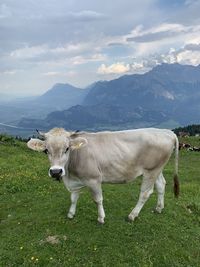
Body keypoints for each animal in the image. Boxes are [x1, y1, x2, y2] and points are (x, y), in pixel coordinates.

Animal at [27, 127, 180, 224]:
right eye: (46, 150)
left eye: (67, 148)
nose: (56, 172)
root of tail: (166, 132)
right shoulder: (76, 181)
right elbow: (73, 198)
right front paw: (71, 214)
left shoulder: (94, 179)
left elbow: (98, 199)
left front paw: (101, 218)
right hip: (157, 169)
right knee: (161, 185)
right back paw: (159, 208)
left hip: (151, 170)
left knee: (145, 193)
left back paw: (132, 215)